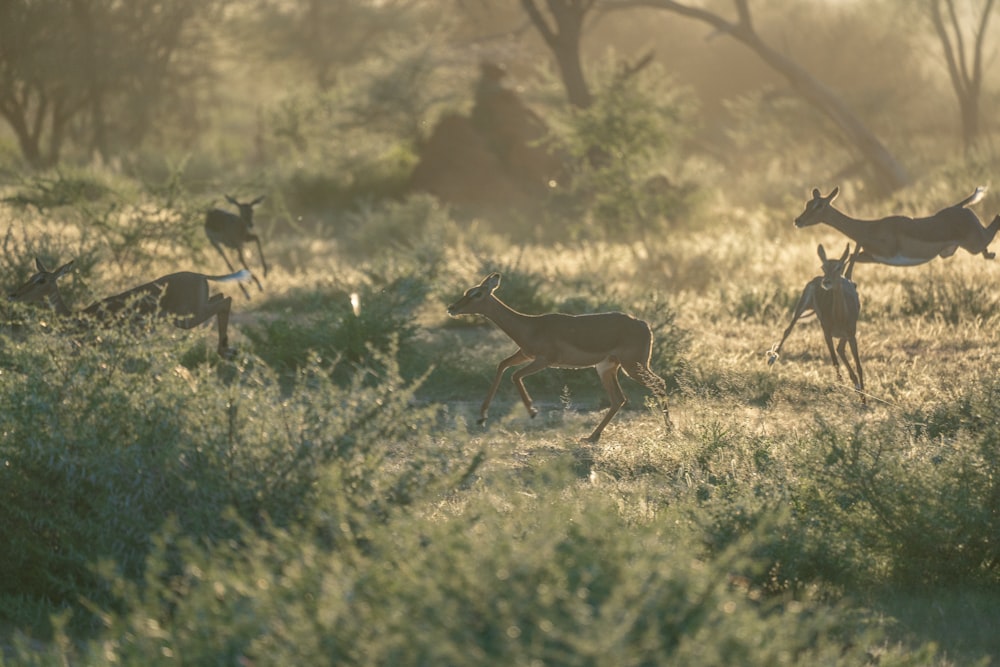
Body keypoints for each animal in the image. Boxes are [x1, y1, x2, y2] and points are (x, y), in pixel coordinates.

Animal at [8, 258, 250, 358]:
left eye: (41, 280)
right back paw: (228, 350)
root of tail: (201, 275)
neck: (77, 316)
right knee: (222, 297)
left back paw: (227, 351)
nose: (13, 295)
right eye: (31, 276)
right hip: (193, 311)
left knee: (226, 300)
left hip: (186, 318)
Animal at [446, 274, 672, 440]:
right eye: (467, 291)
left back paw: (669, 431)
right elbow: (502, 365)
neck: (530, 326)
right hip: (607, 368)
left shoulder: (544, 360)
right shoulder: (525, 355)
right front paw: (482, 417)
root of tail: (644, 325)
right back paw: (591, 437)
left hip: (632, 366)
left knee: (659, 384)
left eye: (477, 293)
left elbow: (515, 375)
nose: (452, 308)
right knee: (619, 399)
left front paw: (533, 412)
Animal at [768, 244, 864, 404]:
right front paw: (840, 383)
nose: (826, 282)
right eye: (823, 266)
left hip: (844, 336)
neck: (839, 316)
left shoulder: (851, 335)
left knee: (840, 349)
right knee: (788, 329)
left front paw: (864, 399)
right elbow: (835, 361)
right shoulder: (827, 332)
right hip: (802, 306)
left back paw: (856, 385)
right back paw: (772, 357)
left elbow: (858, 366)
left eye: (839, 267)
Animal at [796, 187, 1000, 268]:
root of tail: (961, 207)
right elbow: (848, 258)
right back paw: (990, 254)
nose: (798, 221)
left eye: (819, 206)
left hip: (974, 243)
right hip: (959, 249)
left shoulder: (886, 253)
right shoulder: (873, 257)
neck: (870, 228)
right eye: (807, 204)